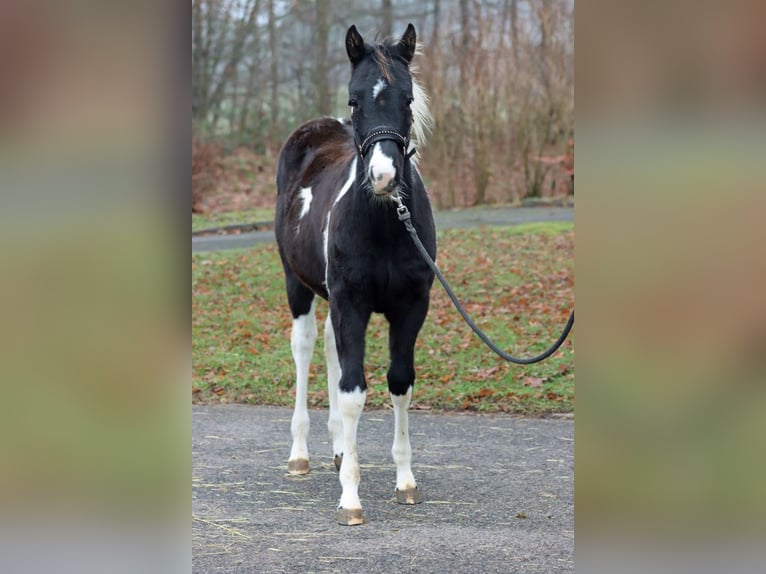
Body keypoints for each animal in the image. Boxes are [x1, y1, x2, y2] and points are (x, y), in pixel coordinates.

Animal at [274, 23, 436, 526]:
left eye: (407, 98)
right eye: (354, 99)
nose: (384, 177)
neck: (384, 221)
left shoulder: (411, 307)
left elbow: (399, 382)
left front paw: (405, 480)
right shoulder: (351, 303)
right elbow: (352, 391)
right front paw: (350, 497)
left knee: (329, 346)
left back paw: (340, 448)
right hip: (298, 285)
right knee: (306, 347)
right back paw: (301, 452)